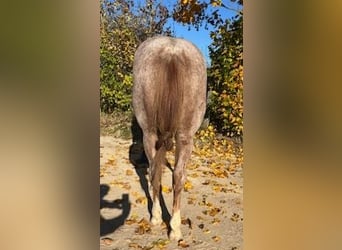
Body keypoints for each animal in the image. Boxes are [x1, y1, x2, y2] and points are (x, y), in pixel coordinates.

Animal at [132, 35, 207, 240]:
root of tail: (171, 52)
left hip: (151, 133)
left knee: (157, 172)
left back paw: (161, 220)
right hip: (184, 135)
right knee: (174, 174)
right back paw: (170, 225)